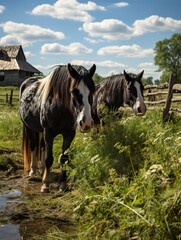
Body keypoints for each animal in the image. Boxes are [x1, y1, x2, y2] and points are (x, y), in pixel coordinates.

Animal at [19, 62, 96, 192]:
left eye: (93, 91)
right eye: (74, 91)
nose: (86, 123)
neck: (60, 107)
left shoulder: (69, 134)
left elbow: (64, 158)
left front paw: (63, 184)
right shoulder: (49, 133)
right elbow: (49, 158)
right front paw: (45, 184)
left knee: (42, 146)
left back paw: (42, 170)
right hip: (29, 127)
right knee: (33, 145)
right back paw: (33, 170)